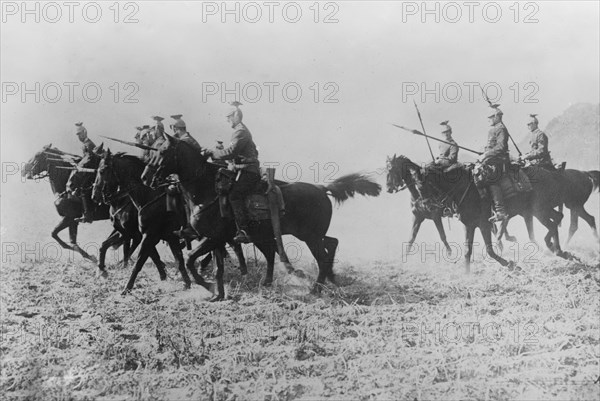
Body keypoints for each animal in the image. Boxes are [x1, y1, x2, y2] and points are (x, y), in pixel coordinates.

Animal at [142, 133, 380, 298]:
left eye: (163, 151)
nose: (148, 179)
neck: (206, 189)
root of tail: (322, 188)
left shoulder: (215, 238)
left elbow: (192, 259)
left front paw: (209, 286)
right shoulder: (215, 239)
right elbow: (214, 267)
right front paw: (217, 293)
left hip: (310, 237)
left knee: (320, 256)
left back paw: (316, 289)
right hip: (297, 235)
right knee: (329, 242)